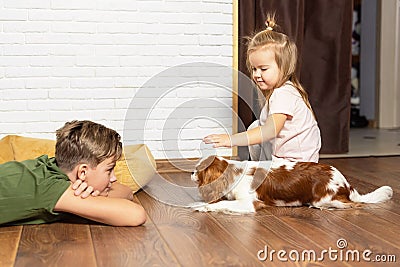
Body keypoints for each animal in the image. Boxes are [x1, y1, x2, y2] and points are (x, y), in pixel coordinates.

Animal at [189, 156, 392, 215]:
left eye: (197, 169)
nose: (190, 173)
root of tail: (346, 183)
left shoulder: (249, 203)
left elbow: (222, 203)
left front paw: (204, 207)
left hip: (323, 199)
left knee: (354, 204)